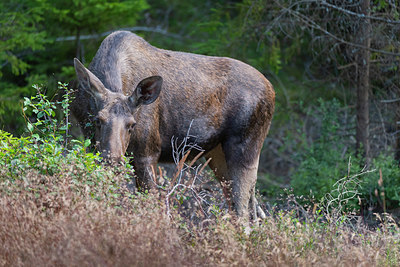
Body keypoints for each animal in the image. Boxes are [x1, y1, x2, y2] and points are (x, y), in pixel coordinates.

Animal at [72, 30, 276, 221]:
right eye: (98, 119)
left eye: (132, 124)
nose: (112, 159)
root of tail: (272, 90)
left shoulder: (147, 153)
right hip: (217, 153)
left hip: (246, 149)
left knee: (244, 213)